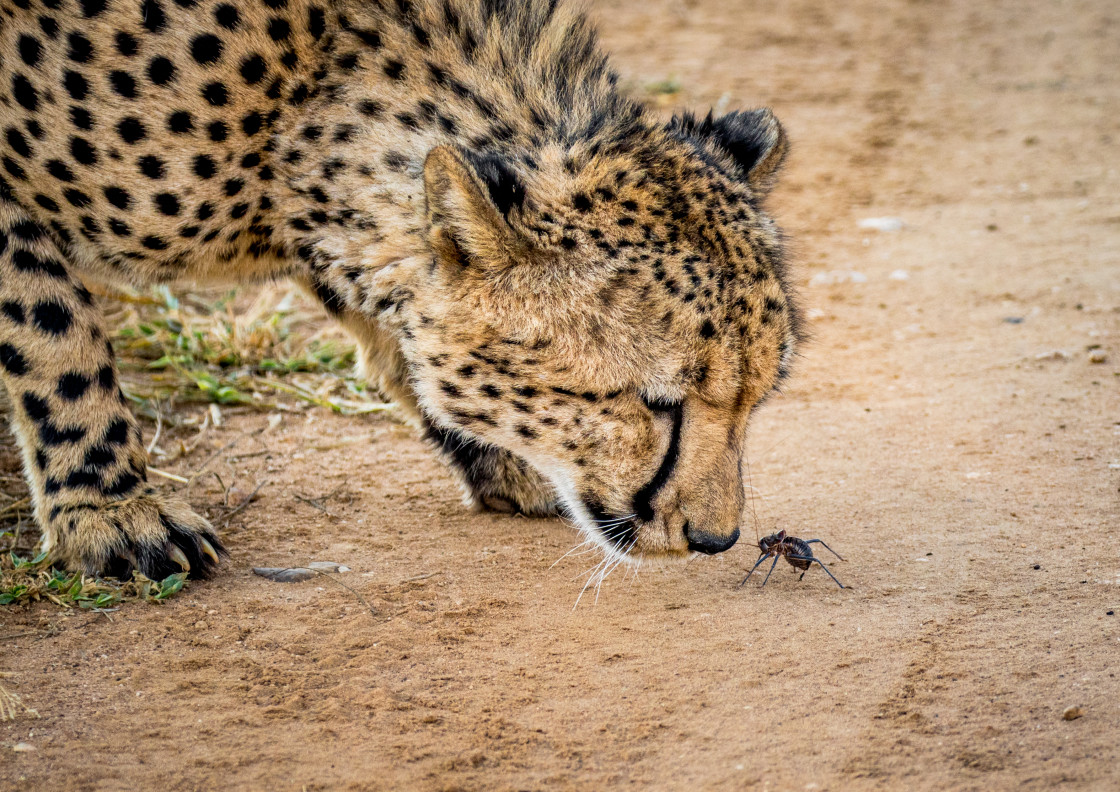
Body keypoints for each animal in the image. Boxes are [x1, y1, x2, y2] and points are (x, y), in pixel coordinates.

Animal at [0, 0, 801, 582]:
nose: (717, 538)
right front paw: (109, 512)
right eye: (655, 403)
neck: (296, 104)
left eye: (756, 401)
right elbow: (54, 335)